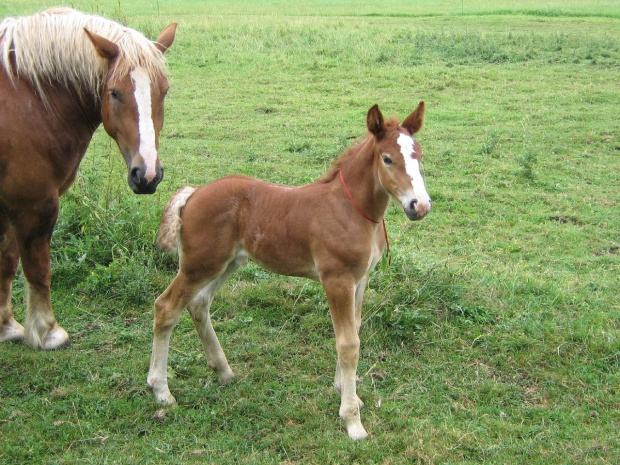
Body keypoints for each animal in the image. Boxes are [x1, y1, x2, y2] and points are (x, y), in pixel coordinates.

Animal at [0, 9, 177, 348]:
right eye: (114, 92)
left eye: (164, 91)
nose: (147, 174)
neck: (29, 98)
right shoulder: (34, 202)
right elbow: (37, 268)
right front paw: (48, 331)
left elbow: (6, 260)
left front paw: (6, 326)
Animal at [149, 102, 432, 438]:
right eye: (387, 159)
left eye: (419, 154)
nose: (420, 206)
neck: (350, 210)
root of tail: (193, 192)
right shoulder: (337, 279)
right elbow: (348, 343)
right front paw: (352, 420)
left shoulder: (360, 279)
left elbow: (355, 328)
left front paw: (345, 391)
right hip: (199, 265)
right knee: (166, 307)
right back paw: (161, 391)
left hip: (226, 263)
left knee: (199, 305)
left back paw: (224, 371)